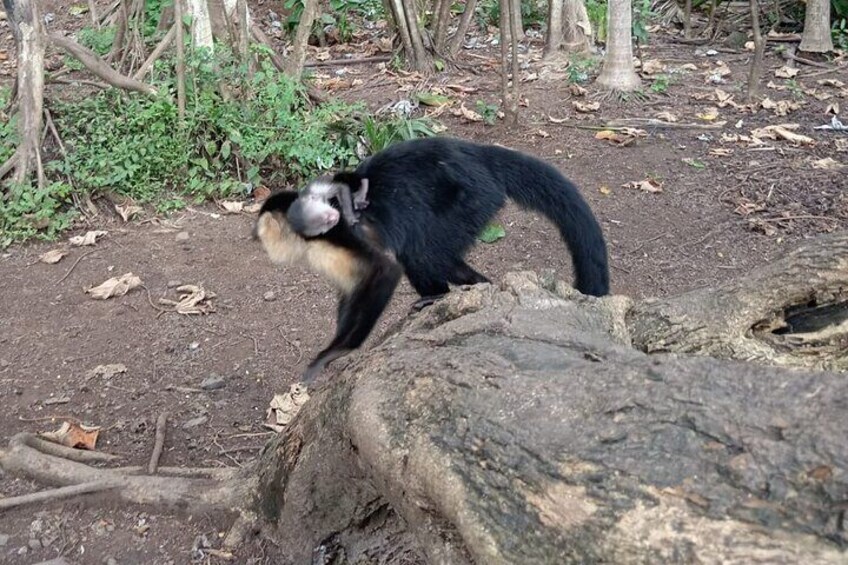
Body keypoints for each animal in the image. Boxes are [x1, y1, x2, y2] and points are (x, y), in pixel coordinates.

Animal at [252, 137, 608, 384]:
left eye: (330, 218)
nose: (336, 217)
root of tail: (476, 153)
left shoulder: (336, 238)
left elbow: (385, 269)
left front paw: (335, 352)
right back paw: (472, 289)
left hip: (472, 196)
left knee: (422, 253)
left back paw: (441, 294)